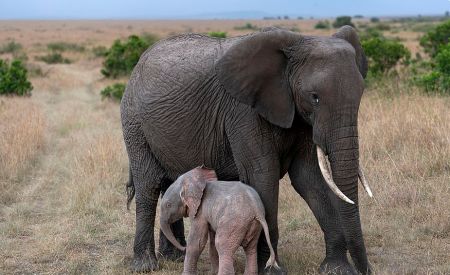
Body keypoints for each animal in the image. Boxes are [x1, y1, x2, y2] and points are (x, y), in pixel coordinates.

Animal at [122, 24, 372, 274]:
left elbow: (308, 178)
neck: (296, 43)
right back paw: (145, 265)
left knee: (169, 183)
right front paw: (270, 270)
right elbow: (262, 175)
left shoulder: (299, 116)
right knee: (149, 185)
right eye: (315, 97)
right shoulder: (244, 112)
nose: (367, 269)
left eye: (361, 93)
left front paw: (337, 269)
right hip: (134, 122)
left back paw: (173, 257)